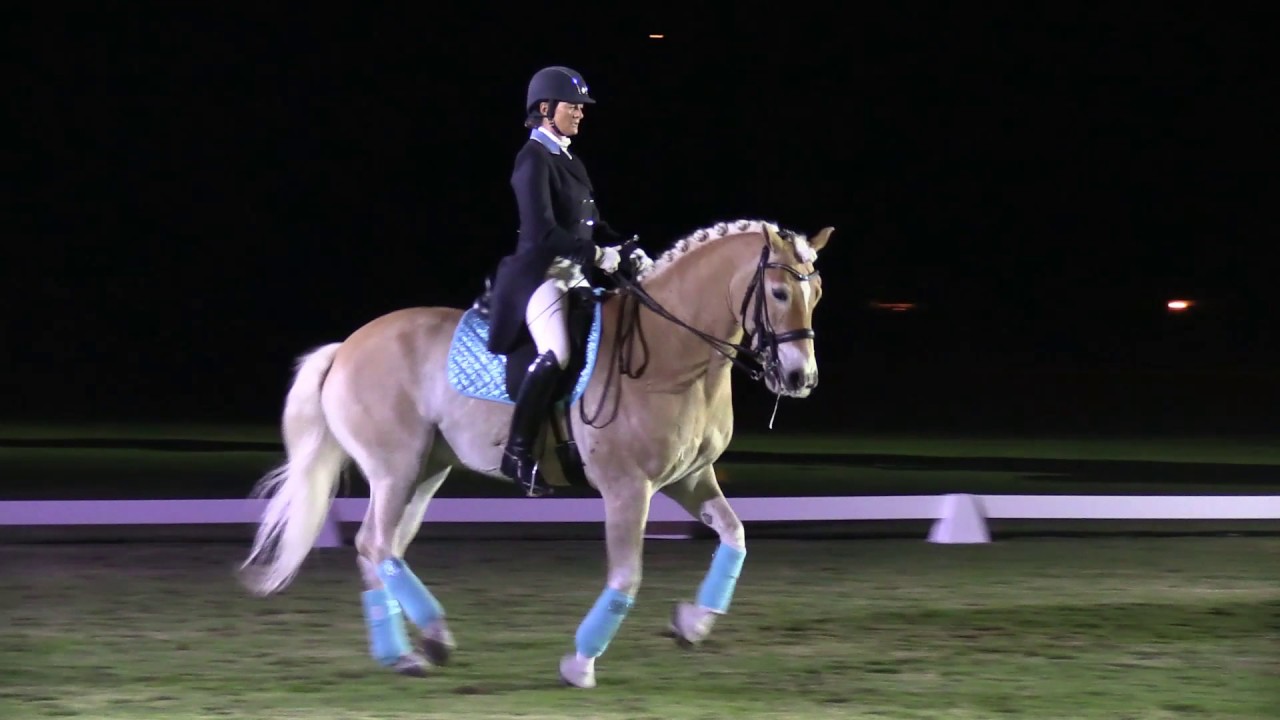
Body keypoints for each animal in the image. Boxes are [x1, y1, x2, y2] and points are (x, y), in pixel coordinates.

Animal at [238, 217, 829, 681]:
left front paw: (692, 623)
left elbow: (735, 536)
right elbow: (626, 576)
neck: (670, 355)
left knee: (381, 550)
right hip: (394, 468)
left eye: (816, 293)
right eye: (779, 294)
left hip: (424, 473)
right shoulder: (626, 488)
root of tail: (346, 347)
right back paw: (429, 640)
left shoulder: (690, 478)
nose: (800, 379)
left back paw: (408, 651)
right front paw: (580, 663)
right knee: (375, 544)